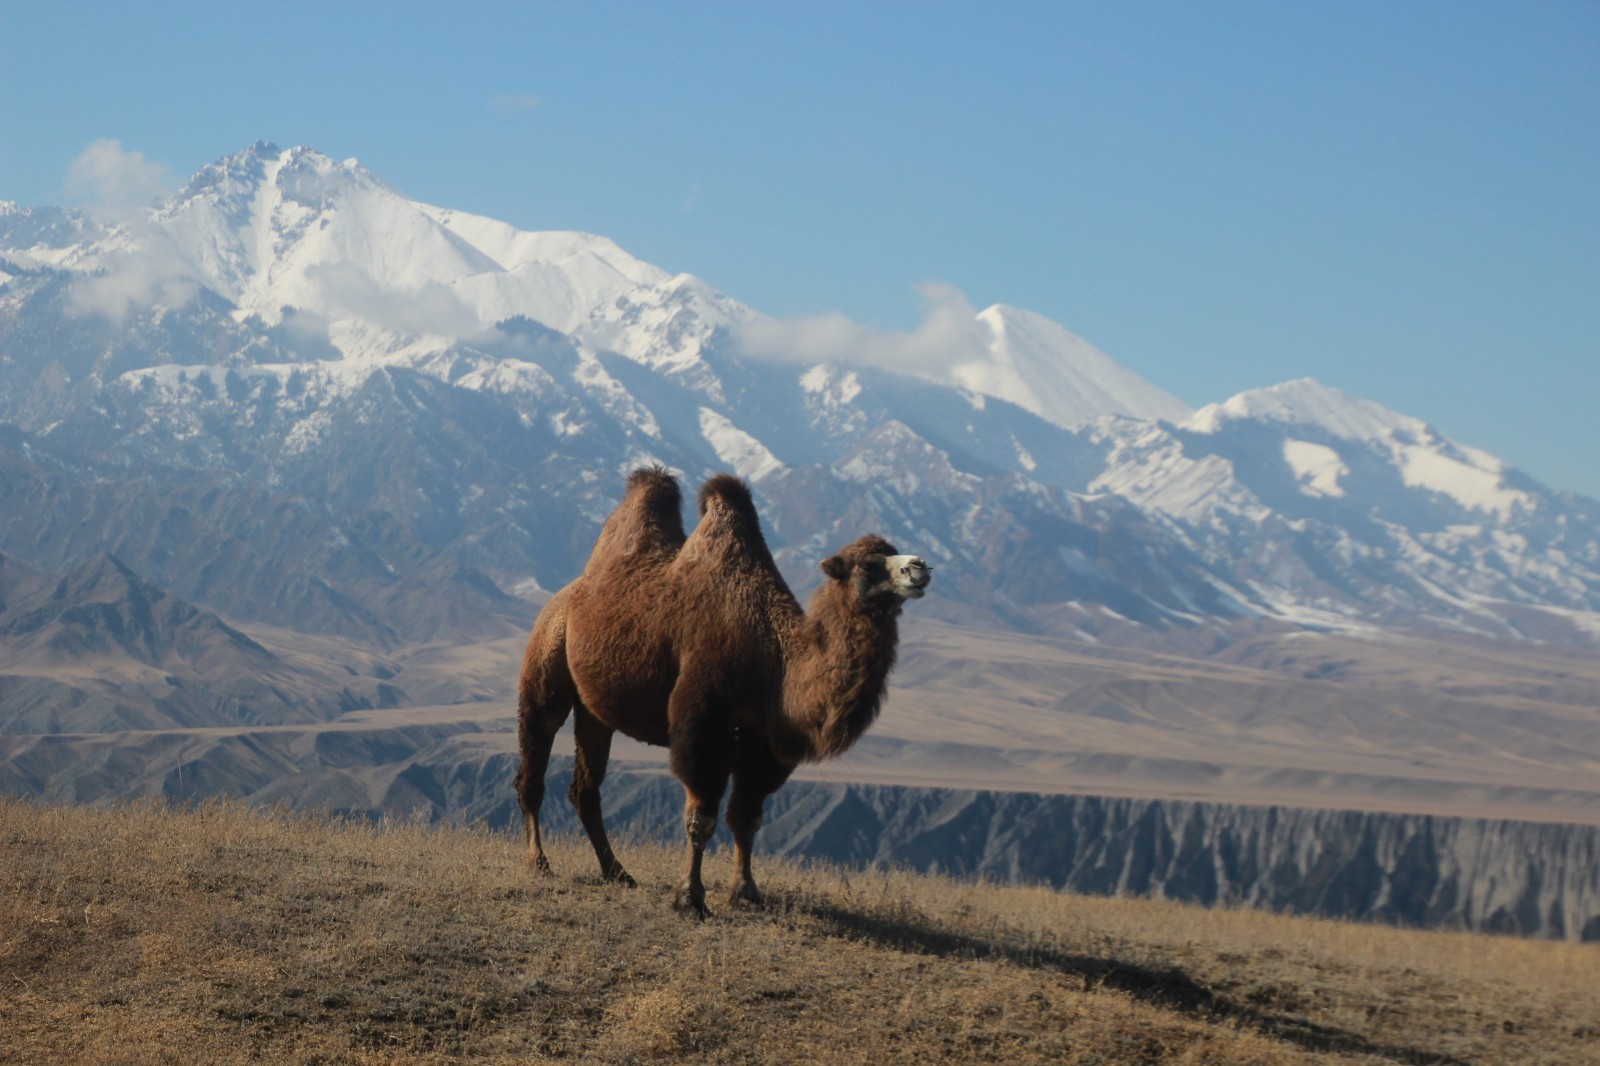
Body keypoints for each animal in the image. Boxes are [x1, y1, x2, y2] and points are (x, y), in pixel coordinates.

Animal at [518, 464, 934, 915]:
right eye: (869, 565)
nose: (920, 566)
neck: (774, 656)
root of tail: (563, 597)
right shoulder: (703, 723)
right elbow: (701, 818)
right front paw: (690, 898)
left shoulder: (762, 739)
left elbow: (747, 819)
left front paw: (746, 892)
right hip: (547, 658)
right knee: (535, 763)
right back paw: (538, 862)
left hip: (594, 709)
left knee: (585, 789)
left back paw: (617, 871)